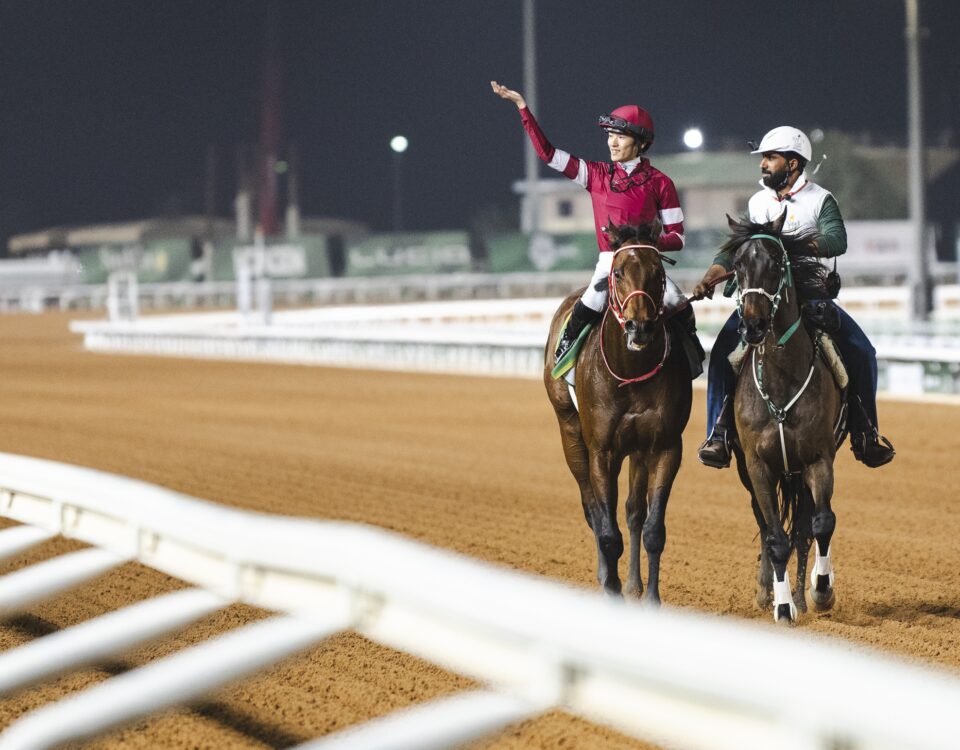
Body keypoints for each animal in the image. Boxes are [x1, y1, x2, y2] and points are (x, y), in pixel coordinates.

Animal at [548, 220, 688, 604]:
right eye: (619, 272)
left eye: (657, 272)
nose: (640, 327)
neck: (631, 372)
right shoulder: (602, 450)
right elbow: (607, 529)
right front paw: (610, 591)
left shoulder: (664, 447)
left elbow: (653, 528)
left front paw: (650, 599)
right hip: (570, 431)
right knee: (593, 508)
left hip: (637, 450)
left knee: (633, 511)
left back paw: (633, 584)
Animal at [724, 214, 844, 624]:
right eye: (737, 266)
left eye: (776, 263)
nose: (753, 325)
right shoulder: (758, 465)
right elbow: (775, 537)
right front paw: (781, 605)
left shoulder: (818, 458)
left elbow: (821, 523)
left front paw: (820, 590)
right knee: (765, 525)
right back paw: (769, 592)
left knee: (804, 528)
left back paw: (804, 596)